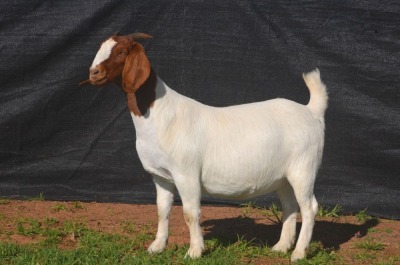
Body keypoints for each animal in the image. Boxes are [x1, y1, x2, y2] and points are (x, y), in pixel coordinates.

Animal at [83, 32, 328, 260]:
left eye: (122, 52)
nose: (93, 73)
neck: (159, 114)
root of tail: (311, 110)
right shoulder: (160, 176)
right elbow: (162, 211)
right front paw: (157, 247)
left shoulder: (186, 173)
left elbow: (190, 212)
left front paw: (194, 251)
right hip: (283, 177)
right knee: (290, 207)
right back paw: (281, 247)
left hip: (303, 169)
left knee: (309, 208)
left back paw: (299, 253)